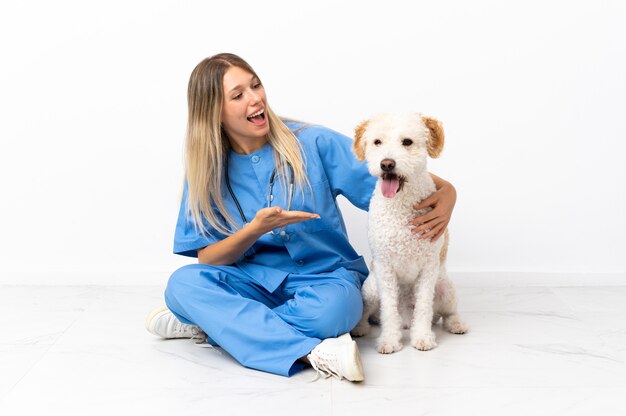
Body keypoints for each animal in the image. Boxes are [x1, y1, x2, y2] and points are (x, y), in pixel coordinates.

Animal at [348, 113, 466, 354]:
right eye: (377, 142)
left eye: (407, 142)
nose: (387, 164)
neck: (400, 205)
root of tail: (405, 319)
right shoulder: (385, 268)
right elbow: (388, 311)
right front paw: (389, 341)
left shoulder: (428, 267)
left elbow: (423, 307)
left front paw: (422, 338)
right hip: (371, 288)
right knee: (368, 313)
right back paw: (360, 328)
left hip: (445, 289)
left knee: (446, 312)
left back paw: (456, 323)